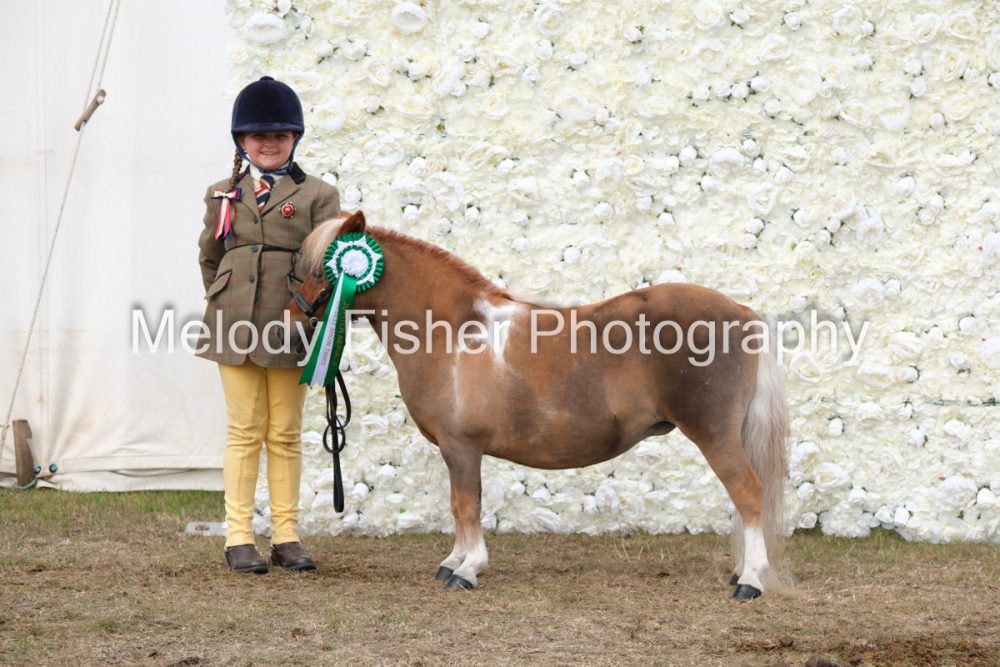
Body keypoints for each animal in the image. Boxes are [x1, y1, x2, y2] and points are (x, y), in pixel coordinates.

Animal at [286, 211, 789, 599]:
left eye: (322, 271)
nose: (290, 326)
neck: (451, 332)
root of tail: (741, 312)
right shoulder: (454, 450)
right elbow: (456, 505)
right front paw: (452, 562)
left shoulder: (461, 447)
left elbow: (466, 504)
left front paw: (467, 569)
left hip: (714, 433)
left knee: (748, 493)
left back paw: (750, 582)